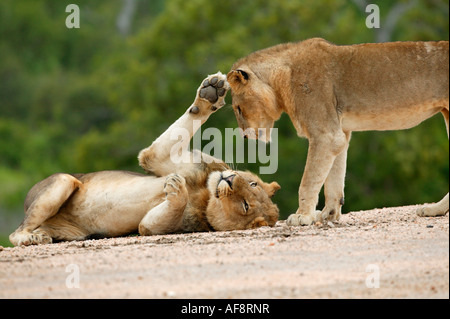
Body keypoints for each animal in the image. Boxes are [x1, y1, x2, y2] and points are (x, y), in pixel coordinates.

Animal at [8, 72, 280, 248]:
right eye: (252, 183)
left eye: (245, 205)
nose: (230, 178)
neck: (205, 193)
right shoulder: (161, 157)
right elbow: (187, 123)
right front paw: (211, 92)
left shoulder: (153, 227)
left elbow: (150, 223)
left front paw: (176, 189)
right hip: (64, 182)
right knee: (20, 228)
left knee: (13, 234)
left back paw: (32, 238)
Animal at [227, 38, 448, 226]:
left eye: (238, 108)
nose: (244, 136)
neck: (282, 80)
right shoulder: (340, 134)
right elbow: (334, 179)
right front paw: (329, 215)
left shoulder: (326, 135)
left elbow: (308, 180)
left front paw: (301, 216)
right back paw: (435, 210)